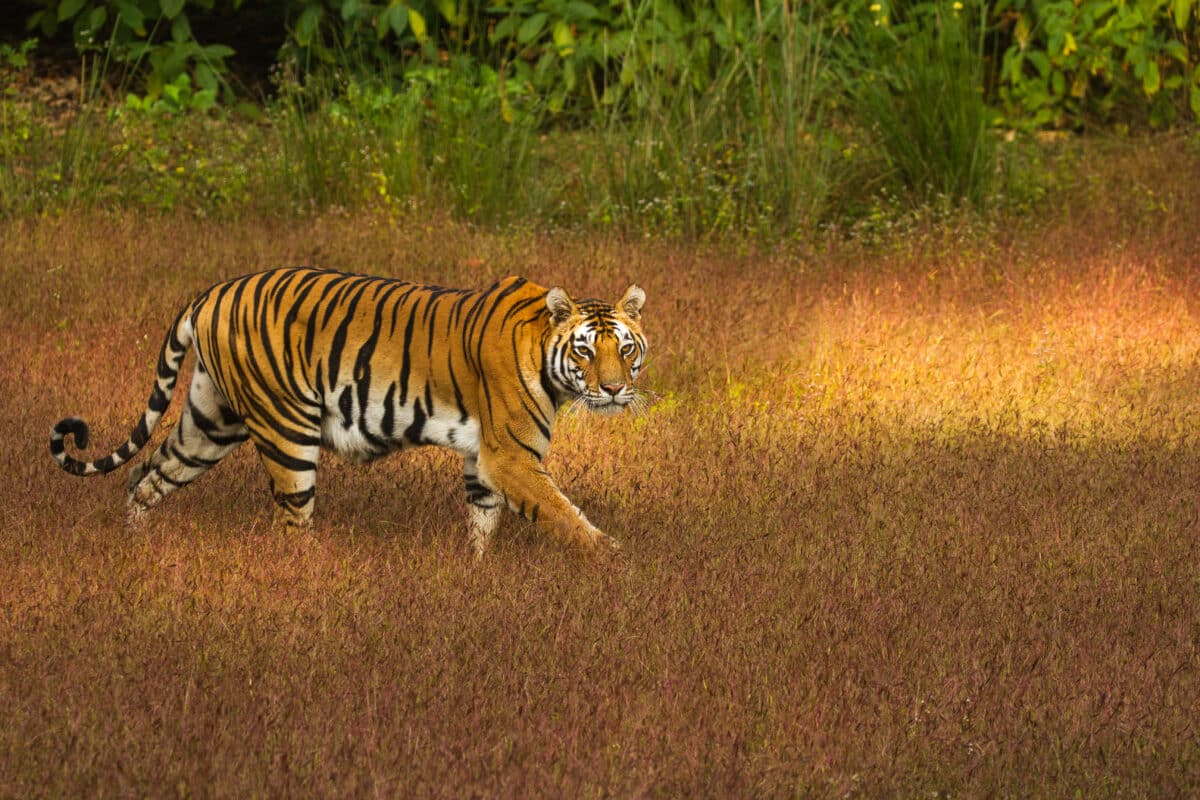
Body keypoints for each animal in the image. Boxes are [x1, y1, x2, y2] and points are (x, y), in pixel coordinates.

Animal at [49, 268, 648, 556]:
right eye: (585, 351)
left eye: (626, 349)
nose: (615, 389)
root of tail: (210, 292)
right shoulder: (511, 457)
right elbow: (566, 517)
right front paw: (616, 565)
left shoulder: (484, 460)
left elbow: (483, 521)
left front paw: (476, 575)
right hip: (286, 431)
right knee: (292, 523)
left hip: (209, 423)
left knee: (144, 477)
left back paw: (135, 547)